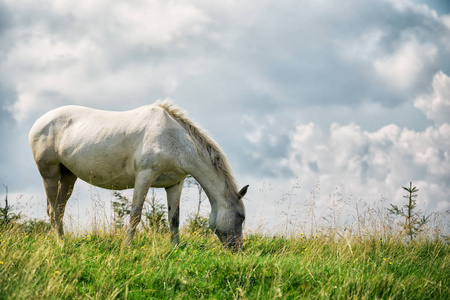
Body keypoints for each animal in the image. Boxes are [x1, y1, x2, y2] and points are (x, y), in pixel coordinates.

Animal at [29, 101, 246, 248]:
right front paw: (127, 247)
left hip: (68, 176)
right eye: (241, 216)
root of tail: (39, 122)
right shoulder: (144, 177)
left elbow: (174, 218)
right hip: (49, 173)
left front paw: (175, 248)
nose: (238, 250)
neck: (173, 140)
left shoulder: (175, 183)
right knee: (53, 211)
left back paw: (63, 240)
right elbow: (135, 215)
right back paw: (60, 243)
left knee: (59, 209)